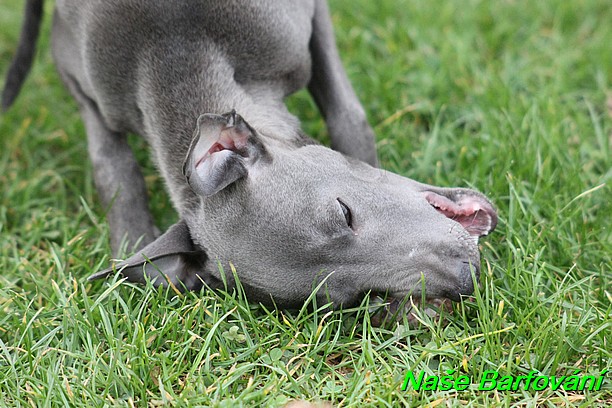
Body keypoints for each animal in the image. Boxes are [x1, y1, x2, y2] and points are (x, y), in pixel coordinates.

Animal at [1, 0, 498, 310]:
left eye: (343, 212)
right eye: (350, 296)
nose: (466, 276)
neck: (173, 45)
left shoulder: (311, 21)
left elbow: (346, 115)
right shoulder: (84, 86)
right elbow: (113, 170)